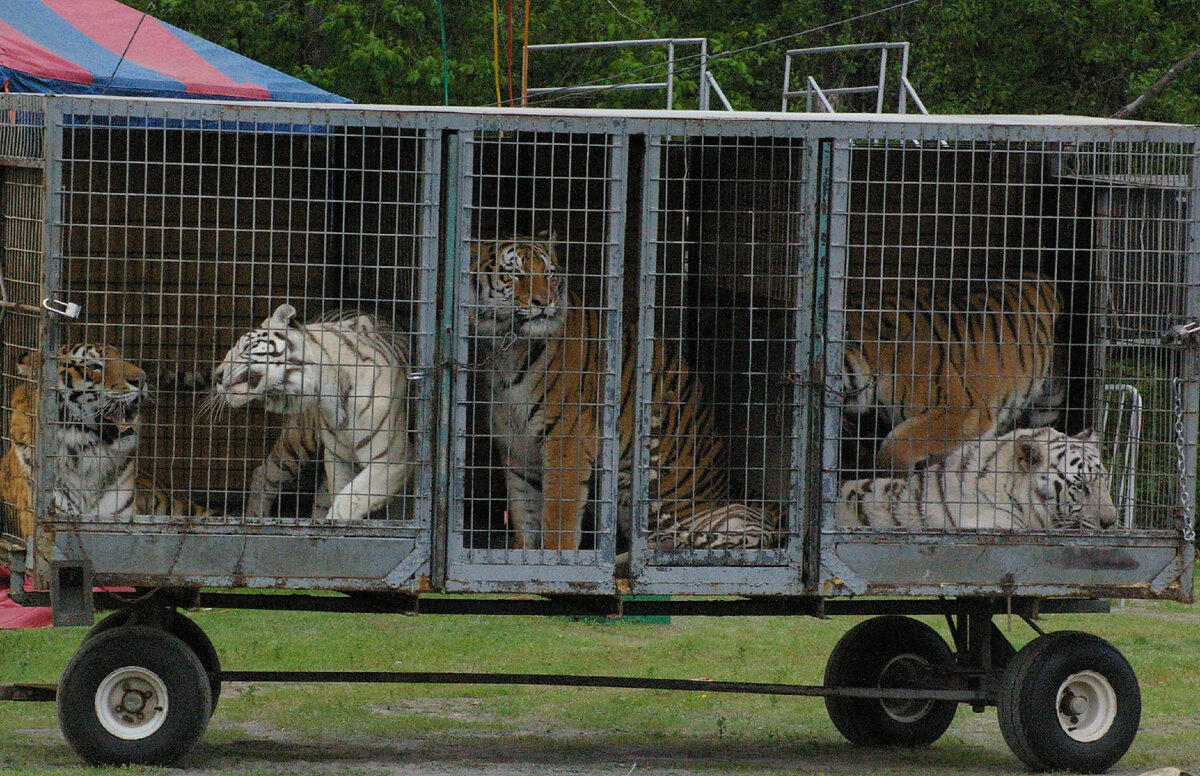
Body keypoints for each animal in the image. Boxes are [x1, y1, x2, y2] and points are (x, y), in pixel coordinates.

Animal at [213, 303, 420, 522]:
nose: (217, 375)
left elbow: (349, 498)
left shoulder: (393, 459)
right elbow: (342, 491)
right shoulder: (338, 458)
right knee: (264, 474)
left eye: (246, 347)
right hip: (300, 440)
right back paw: (254, 516)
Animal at [468, 229, 777, 551]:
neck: (508, 348)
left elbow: (558, 519)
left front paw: (556, 557)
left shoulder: (567, 441)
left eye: (550, 275)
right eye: (515, 274)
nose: (545, 301)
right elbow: (524, 517)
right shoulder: (517, 451)